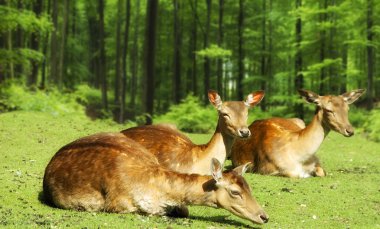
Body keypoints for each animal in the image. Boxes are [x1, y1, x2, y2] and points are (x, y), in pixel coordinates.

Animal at [229, 88, 366, 178]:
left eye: (347, 109)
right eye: (328, 110)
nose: (350, 130)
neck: (299, 157)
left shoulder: (317, 161)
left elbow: (321, 172)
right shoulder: (267, 168)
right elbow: (295, 174)